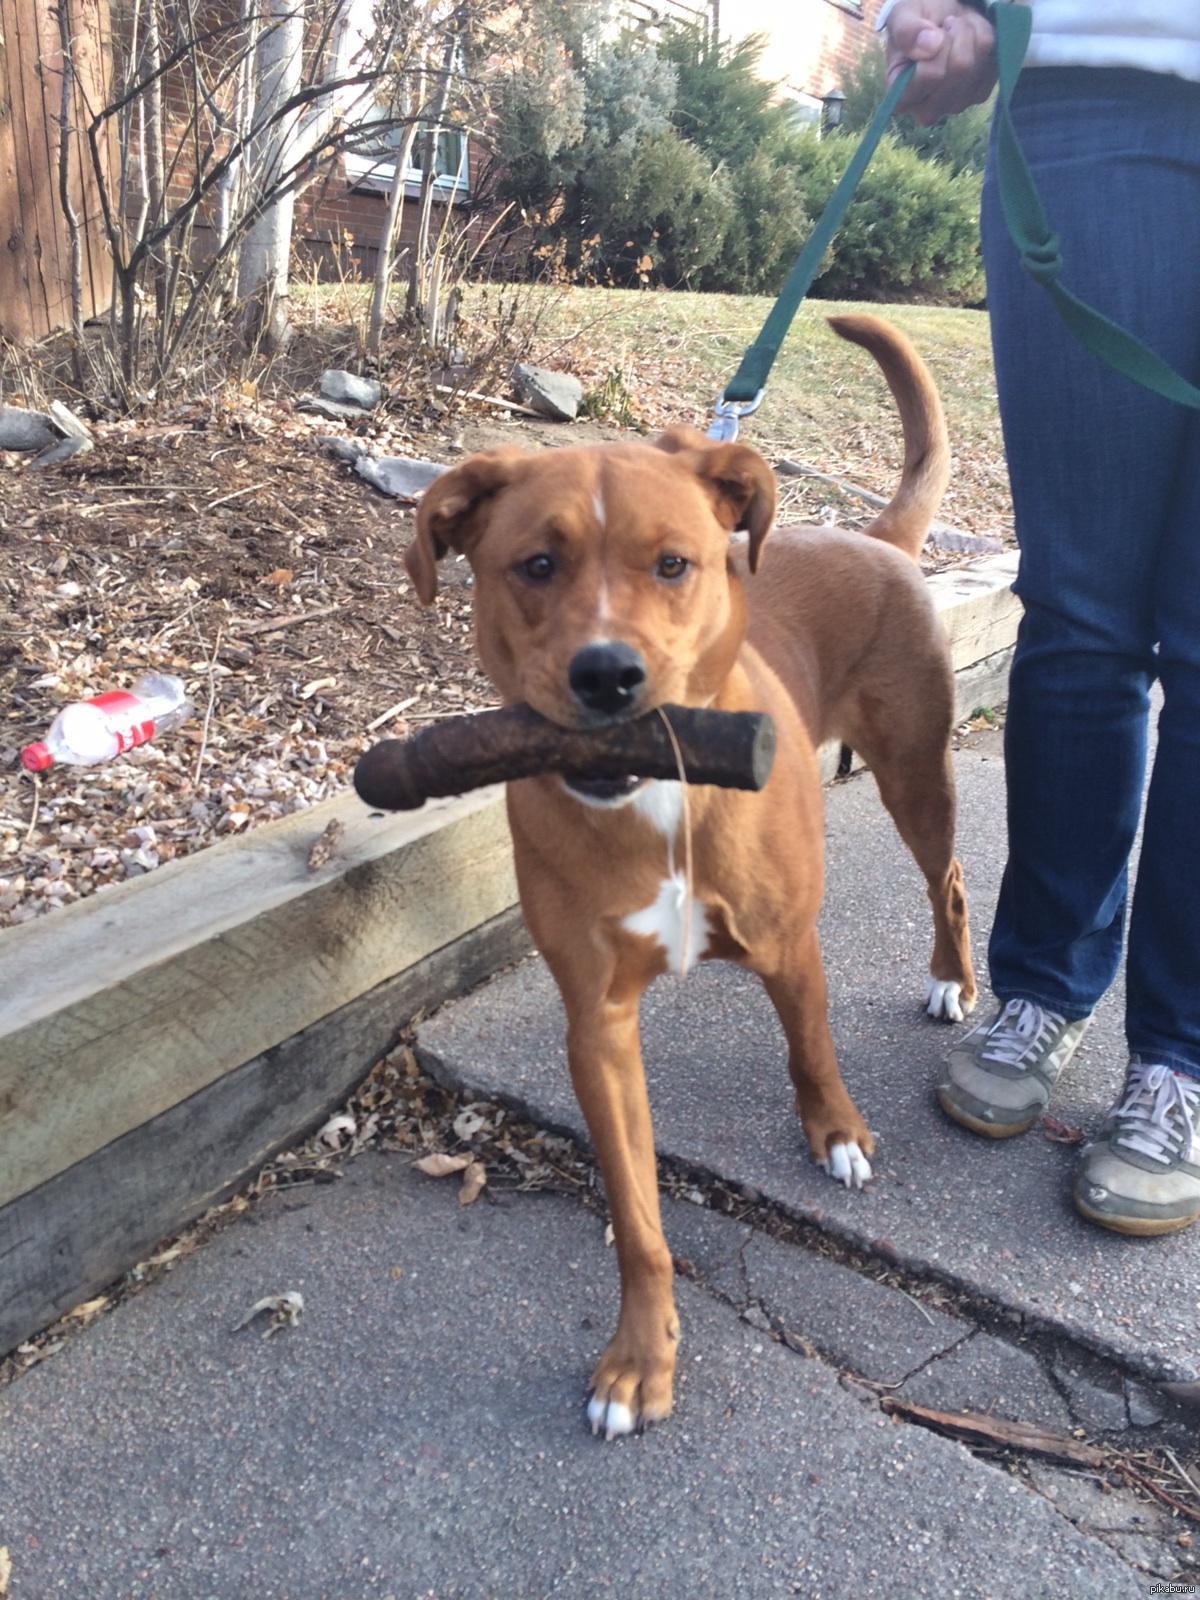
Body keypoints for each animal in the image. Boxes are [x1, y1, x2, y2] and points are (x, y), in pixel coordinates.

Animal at [404, 312, 979, 1440]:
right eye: (535, 563)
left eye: (674, 563)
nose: (606, 673)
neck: (659, 801)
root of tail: (872, 535)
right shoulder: (597, 1025)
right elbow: (638, 1219)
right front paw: (641, 1358)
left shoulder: (792, 946)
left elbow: (812, 1049)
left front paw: (836, 1133)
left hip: (917, 777)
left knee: (953, 882)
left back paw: (952, 978)